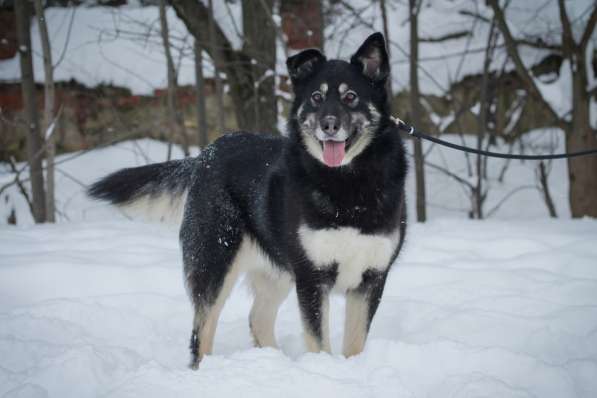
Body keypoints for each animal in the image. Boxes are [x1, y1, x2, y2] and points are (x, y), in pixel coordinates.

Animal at [87, 32, 406, 368]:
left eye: (351, 97)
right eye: (317, 98)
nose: (328, 125)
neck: (347, 181)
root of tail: (206, 153)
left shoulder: (371, 278)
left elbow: (355, 344)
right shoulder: (311, 277)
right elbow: (319, 343)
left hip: (276, 270)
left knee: (257, 319)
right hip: (215, 263)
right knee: (200, 334)